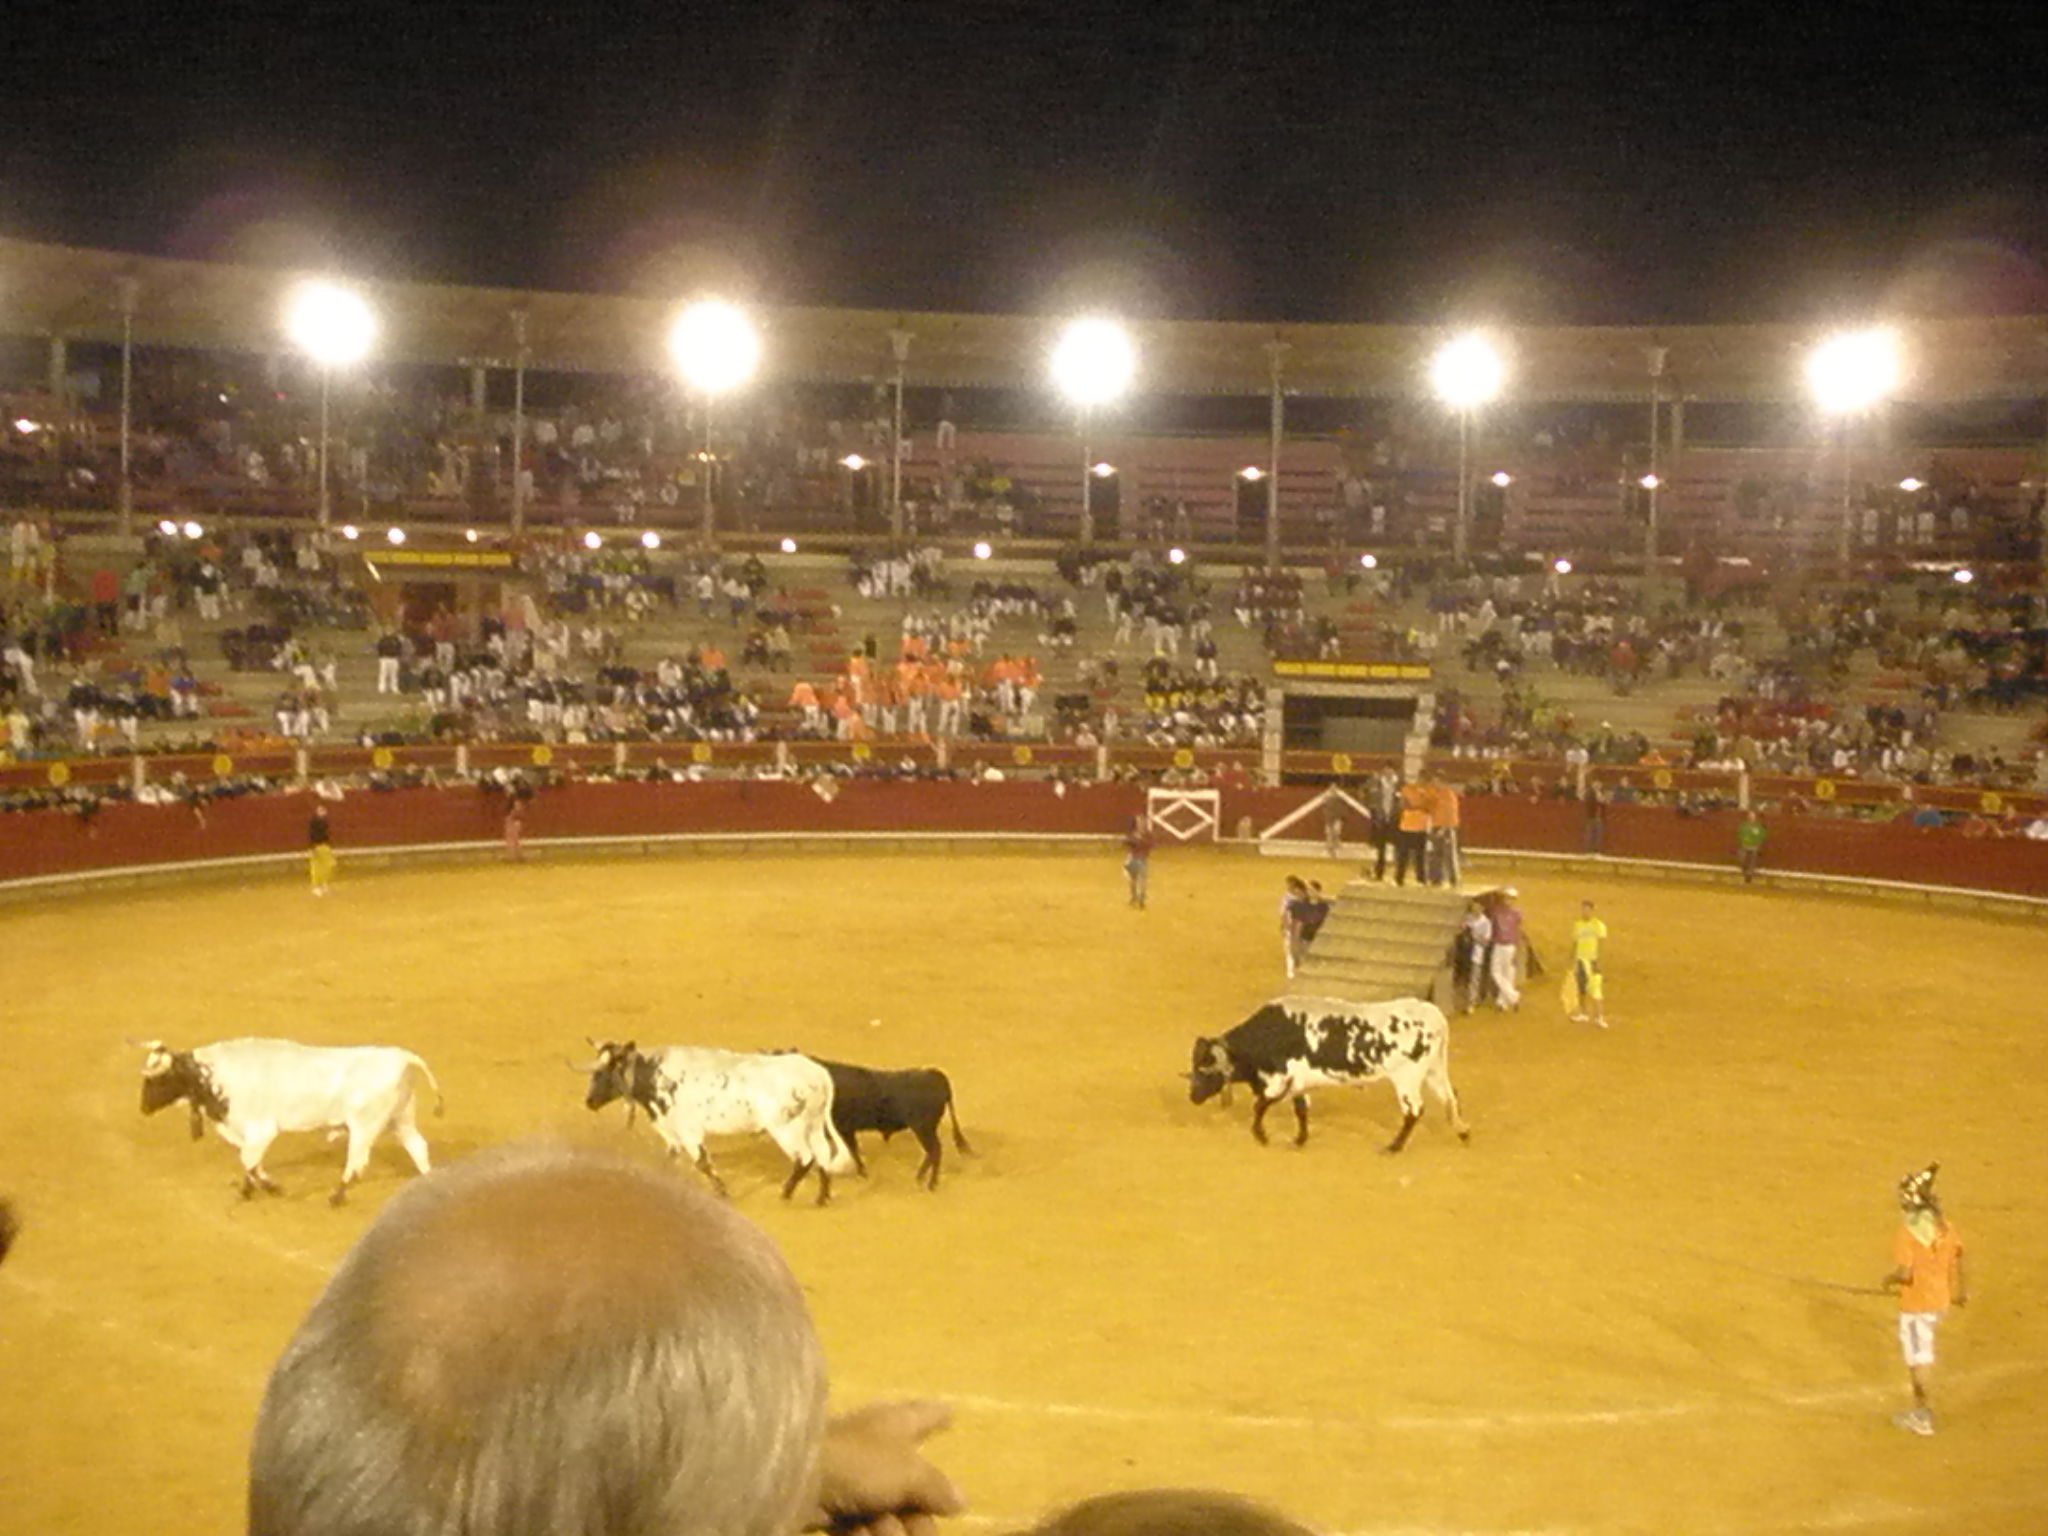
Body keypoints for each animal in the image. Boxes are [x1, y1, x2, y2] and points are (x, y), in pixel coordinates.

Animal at [138, 1040, 442, 1212]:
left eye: (159, 1077)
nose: (143, 1108)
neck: (213, 1075)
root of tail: (401, 1057)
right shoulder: (247, 1133)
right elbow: (251, 1162)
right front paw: (255, 1189)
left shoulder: (261, 1130)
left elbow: (249, 1161)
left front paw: (265, 1189)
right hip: (401, 1119)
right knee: (418, 1147)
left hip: (365, 1126)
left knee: (356, 1162)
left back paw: (336, 1197)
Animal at [581, 1040, 851, 1212]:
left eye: (607, 1070)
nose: (590, 1102)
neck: (656, 1075)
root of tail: (817, 1074)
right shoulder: (671, 1131)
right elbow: (670, 1158)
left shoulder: (689, 1131)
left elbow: (702, 1163)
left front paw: (723, 1193)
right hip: (813, 1124)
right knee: (823, 1155)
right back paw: (821, 1198)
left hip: (786, 1128)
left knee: (804, 1158)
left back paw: (785, 1194)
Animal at [806, 1064, 974, 1196]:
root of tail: (935, 1074)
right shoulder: (846, 1130)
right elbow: (853, 1150)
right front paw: (862, 1173)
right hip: (926, 1129)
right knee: (933, 1152)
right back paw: (923, 1180)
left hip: (923, 1129)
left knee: (935, 1150)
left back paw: (928, 1183)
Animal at [1187, 999, 1474, 1155]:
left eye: (1204, 1067)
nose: (1193, 1097)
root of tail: (1435, 1017)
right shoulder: (1299, 1083)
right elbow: (1301, 1110)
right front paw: (1299, 1139)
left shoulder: (1279, 1080)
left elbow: (1260, 1106)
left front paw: (1262, 1136)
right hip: (1435, 1070)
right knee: (1450, 1098)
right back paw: (1462, 1132)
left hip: (1407, 1078)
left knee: (1414, 1110)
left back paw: (1393, 1147)